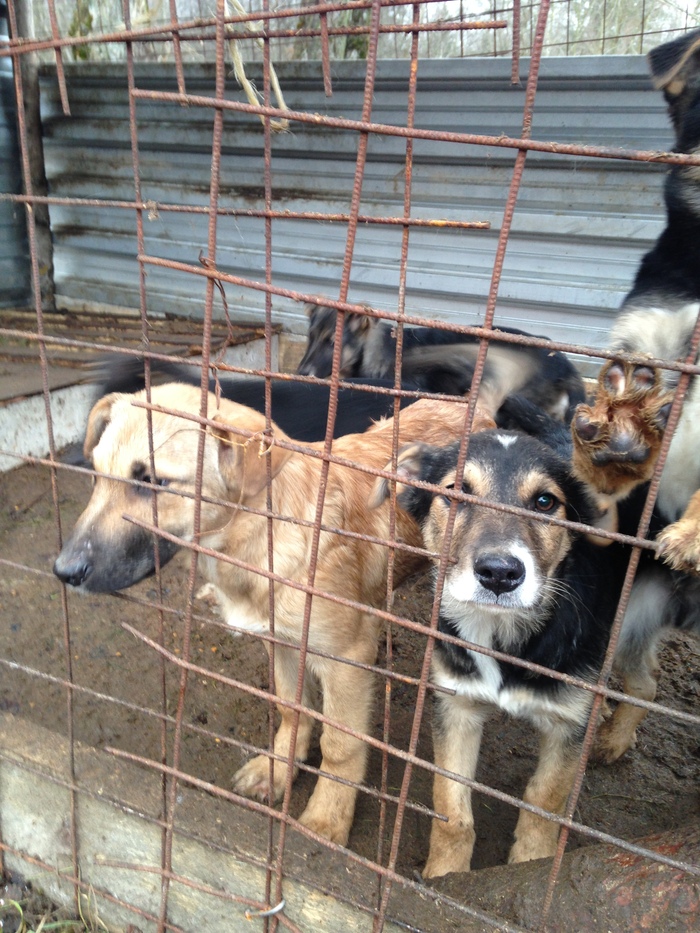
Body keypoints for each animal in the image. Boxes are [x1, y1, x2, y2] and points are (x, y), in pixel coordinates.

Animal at [52, 382, 494, 848]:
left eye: (152, 481)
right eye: (96, 473)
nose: (63, 571)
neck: (259, 537)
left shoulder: (347, 661)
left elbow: (340, 745)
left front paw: (327, 817)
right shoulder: (280, 642)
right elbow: (289, 708)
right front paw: (278, 769)